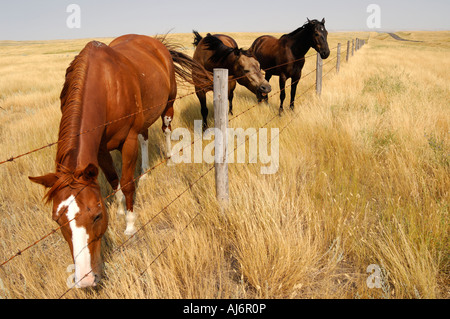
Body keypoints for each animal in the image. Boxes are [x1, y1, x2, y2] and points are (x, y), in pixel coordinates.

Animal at [28, 35, 204, 290]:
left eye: (97, 216)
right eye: (57, 220)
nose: (85, 279)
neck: (106, 87)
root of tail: (155, 42)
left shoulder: (127, 141)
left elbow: (128, 183)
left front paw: (130, 224)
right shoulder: (100, 149)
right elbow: (114, 181)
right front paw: (120, 208)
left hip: (168, 104)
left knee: (166, 128)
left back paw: (169, 158)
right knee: (145, 136)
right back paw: (145, 171)